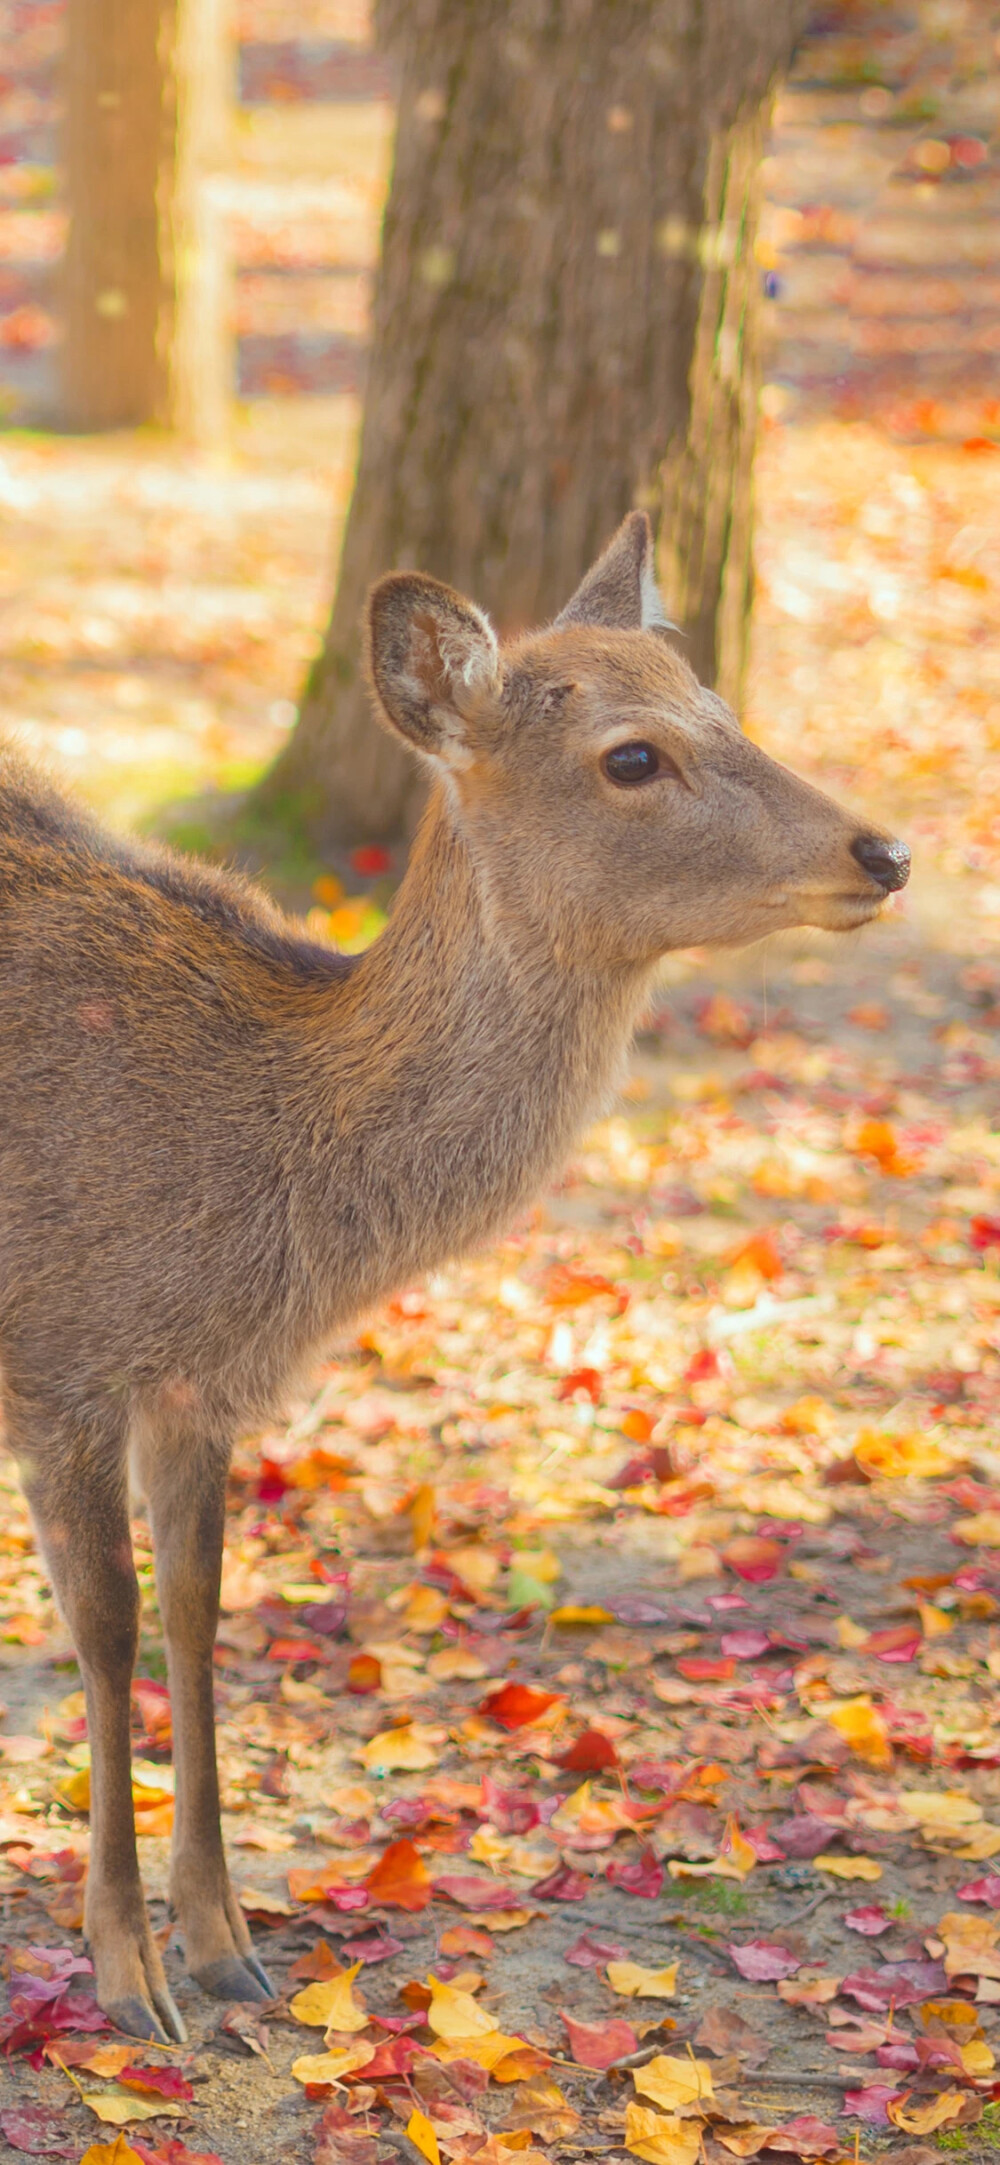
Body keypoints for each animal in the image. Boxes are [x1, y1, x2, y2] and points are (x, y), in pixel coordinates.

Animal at [0, 515, 909, 2035]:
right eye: (631, 756)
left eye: (721, 702)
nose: (885, 847)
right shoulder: (61, 1356)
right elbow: (111, 1629)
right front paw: (129, 1976)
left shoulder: (200, 1389)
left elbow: (198, 1611)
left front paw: (228, 1944)